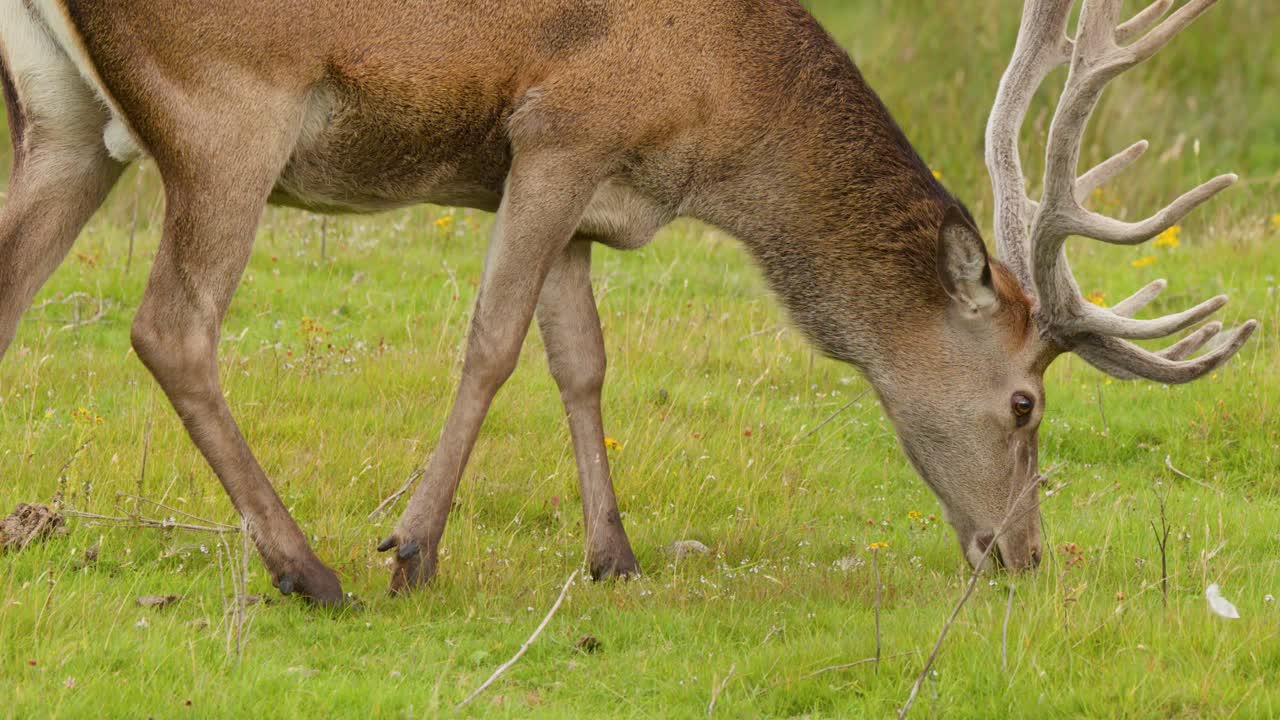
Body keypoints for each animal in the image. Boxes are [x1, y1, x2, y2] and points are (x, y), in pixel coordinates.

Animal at [0, 0, 1254, 606]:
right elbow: (492, 343)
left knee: (15, 291)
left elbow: (579, 357)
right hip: (225, 109)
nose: (1020, 555)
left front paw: (614, 554)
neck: (720, 117)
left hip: (67, 118)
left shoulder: (570, 189)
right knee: (172, 328)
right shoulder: (557, 129)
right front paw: (413, 547)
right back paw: (308, 570)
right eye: (1024, 405)